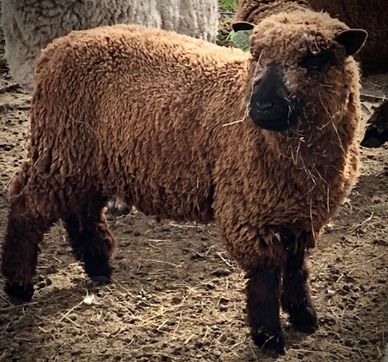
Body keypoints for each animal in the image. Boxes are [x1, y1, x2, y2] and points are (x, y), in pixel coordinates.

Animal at [2, 17, 366, 354]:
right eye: (255, 54)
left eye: (315, 61)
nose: (261, 107)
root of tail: (57, 46)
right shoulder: (249, 212)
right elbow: (265, 277)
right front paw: (269, 336)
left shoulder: (302, 216)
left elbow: (295, 269)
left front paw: (305, 316)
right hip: (60, 148)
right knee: (25, 206)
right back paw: (19, 284)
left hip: (83, 159)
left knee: (82, 210)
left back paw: (98, 266)